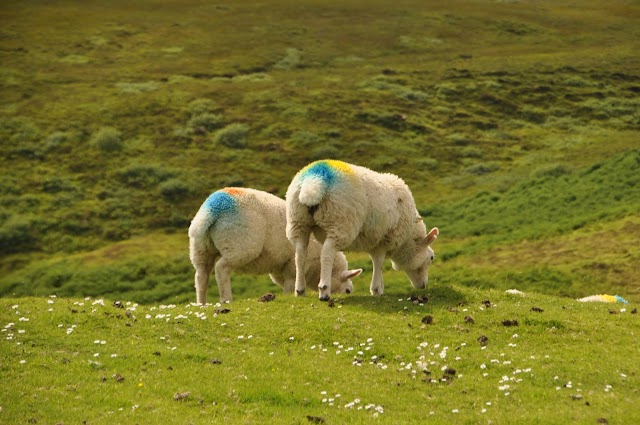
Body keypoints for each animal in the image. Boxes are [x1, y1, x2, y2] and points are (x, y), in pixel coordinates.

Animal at [188, 187, 362, 304]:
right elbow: (291, 284)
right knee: (221, 268)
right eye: (348, 291)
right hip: (239, 245)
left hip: (201, 248)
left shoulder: (281, 268)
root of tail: (212, 210)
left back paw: (201, 303)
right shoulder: (293, 266)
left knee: (201, 275)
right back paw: (226, 299)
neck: (317, 269)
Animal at [288, 159, 438, 302]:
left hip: (298, 222)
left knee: (300, 254)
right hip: (340, 222)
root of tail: (315, 179)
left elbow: (377, 263)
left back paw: (300, 290)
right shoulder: (385, 238)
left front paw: (379, 287)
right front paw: (377, 289)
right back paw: (324, 291)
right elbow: (378, 262)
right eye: (431, 258)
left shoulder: (374, 241)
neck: (407, 238)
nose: (424, 286)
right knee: (326, 253)